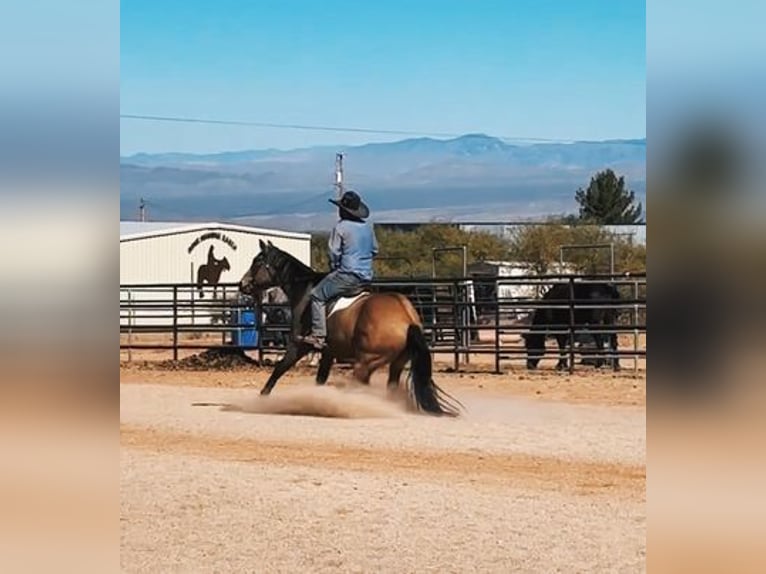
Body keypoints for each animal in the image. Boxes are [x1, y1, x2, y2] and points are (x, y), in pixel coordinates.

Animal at [238, 240, 462, 418]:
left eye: (257, 261)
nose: (242, 284)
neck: (305, 290)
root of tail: (407, 318)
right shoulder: (329, 352)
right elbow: (319, 379)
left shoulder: (298, 345)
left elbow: (278, 370)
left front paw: (262, 399)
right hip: (396, 363)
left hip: (365, 362)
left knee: (361, 385)